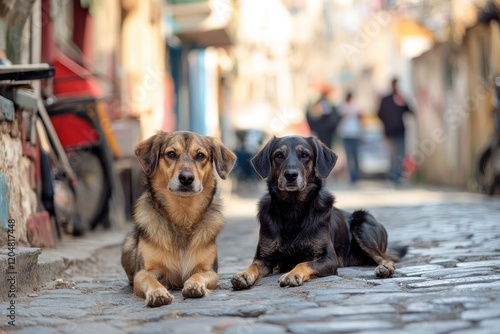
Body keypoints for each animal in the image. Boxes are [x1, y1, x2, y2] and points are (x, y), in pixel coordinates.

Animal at [122, 130, 237, 306]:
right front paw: (158, 292)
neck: (182, 218)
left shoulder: (210, 271)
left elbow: (199, 274)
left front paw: (194, 285)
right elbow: (149, 280)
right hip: (128, 245)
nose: (187, 178)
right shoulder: (143, 272)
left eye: (200, 156)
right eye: (171, 154)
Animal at [230, 136, 406, 290]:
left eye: (305, 155)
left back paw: (385, 268)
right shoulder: (264, 259)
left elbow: (303, 263)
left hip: (362, 225)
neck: (292, 210)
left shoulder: (328, 258)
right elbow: (253, 265)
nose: (291, 175)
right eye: (278, 155)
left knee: (385, 258)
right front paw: (243, 274)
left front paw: (292, 275)